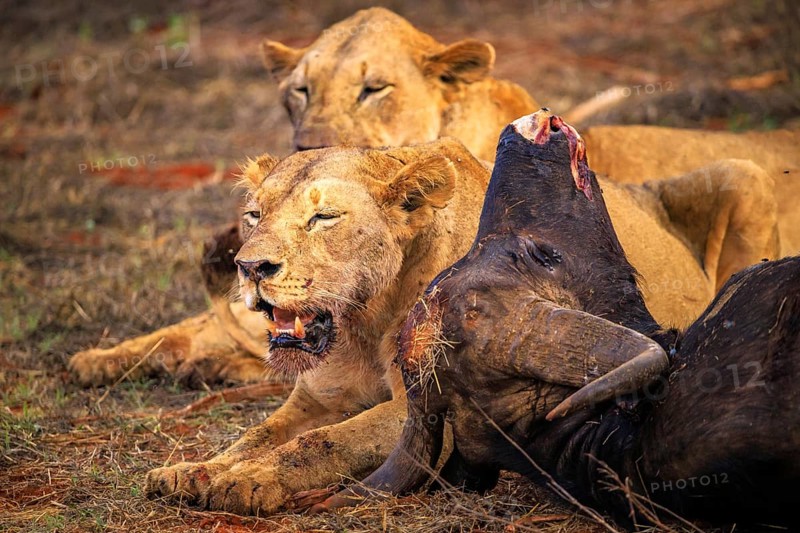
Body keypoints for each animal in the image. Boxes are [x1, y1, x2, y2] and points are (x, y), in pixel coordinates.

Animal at [143, 132, 779, 515]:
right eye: (254, 214)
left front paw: (245, 482)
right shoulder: (316, 398)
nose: (250, 267)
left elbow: (320, 442)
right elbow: (258, 433)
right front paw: (195, 471)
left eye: (324, 217)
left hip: (744, 175)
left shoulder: (429, 406)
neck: (361, 323)